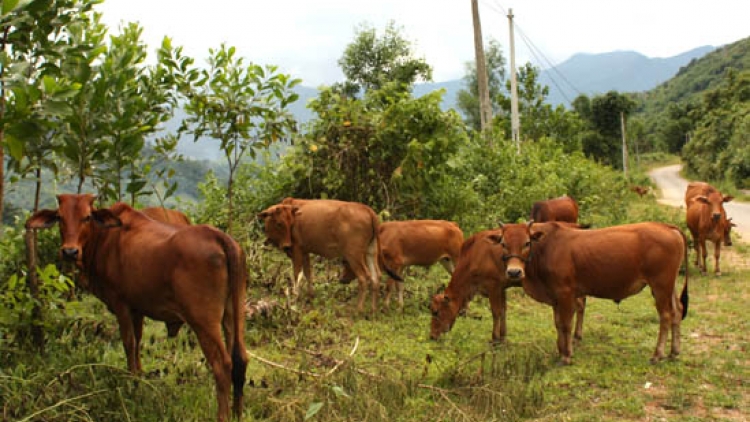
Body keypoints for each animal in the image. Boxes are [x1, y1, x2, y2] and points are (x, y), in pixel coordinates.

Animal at [258, 199, 402, 314]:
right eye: (279, 223)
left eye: (288, 223)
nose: (287, 245)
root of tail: (368, 210)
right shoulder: (305, 252)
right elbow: (308, 274)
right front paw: (310, 295)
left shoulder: (297, 250)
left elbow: (296, 274)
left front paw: (295, 297)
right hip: (370, 252)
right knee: (375, 276)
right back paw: (373, 309)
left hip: (354, 254)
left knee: (363, 277)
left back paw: (359, 309)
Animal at [490, 221, 692, 366]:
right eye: (503, 243)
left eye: (527, 243)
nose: (514, 272)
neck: (546, 247)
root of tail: (668, 227)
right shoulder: (555, 297)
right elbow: (558, 324)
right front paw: (560, 351)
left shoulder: (565, 293)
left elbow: (566, 324)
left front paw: (566, 356)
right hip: (669, 286)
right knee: (677, 312)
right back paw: (674, 352)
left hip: (660, 286)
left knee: (666, 316)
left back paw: (658, 354)